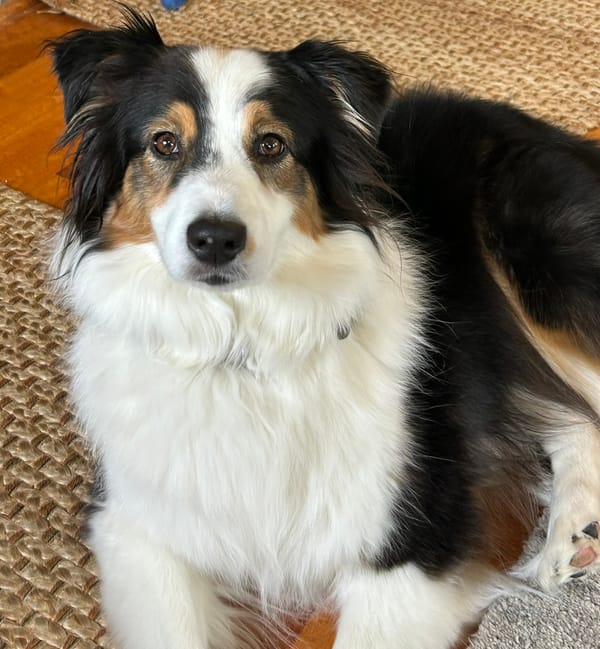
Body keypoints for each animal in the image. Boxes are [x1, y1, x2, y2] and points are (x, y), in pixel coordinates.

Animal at [49, 6, 600, 648]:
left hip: (532, 265)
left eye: (271, 145)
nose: (215, 239)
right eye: (164, 142)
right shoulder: (132, 525)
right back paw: (573, 535)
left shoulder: (414, 542)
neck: (241, 346)